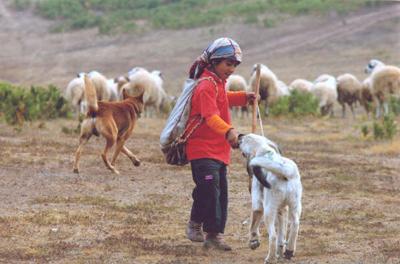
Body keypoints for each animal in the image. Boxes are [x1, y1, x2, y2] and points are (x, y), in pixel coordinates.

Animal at [239, 134, 302, 264]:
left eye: (246, 138)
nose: (239, 135)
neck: (266, 152)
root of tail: (285, 171)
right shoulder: (282, 211)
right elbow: (281, 238)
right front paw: (281, 253)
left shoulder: (257, 206)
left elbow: (253, 227)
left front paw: (253, 242)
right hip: (295, 206)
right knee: (295, 225)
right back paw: (289, 251)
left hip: (268, 212)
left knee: (272, 236)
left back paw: (270, 258)